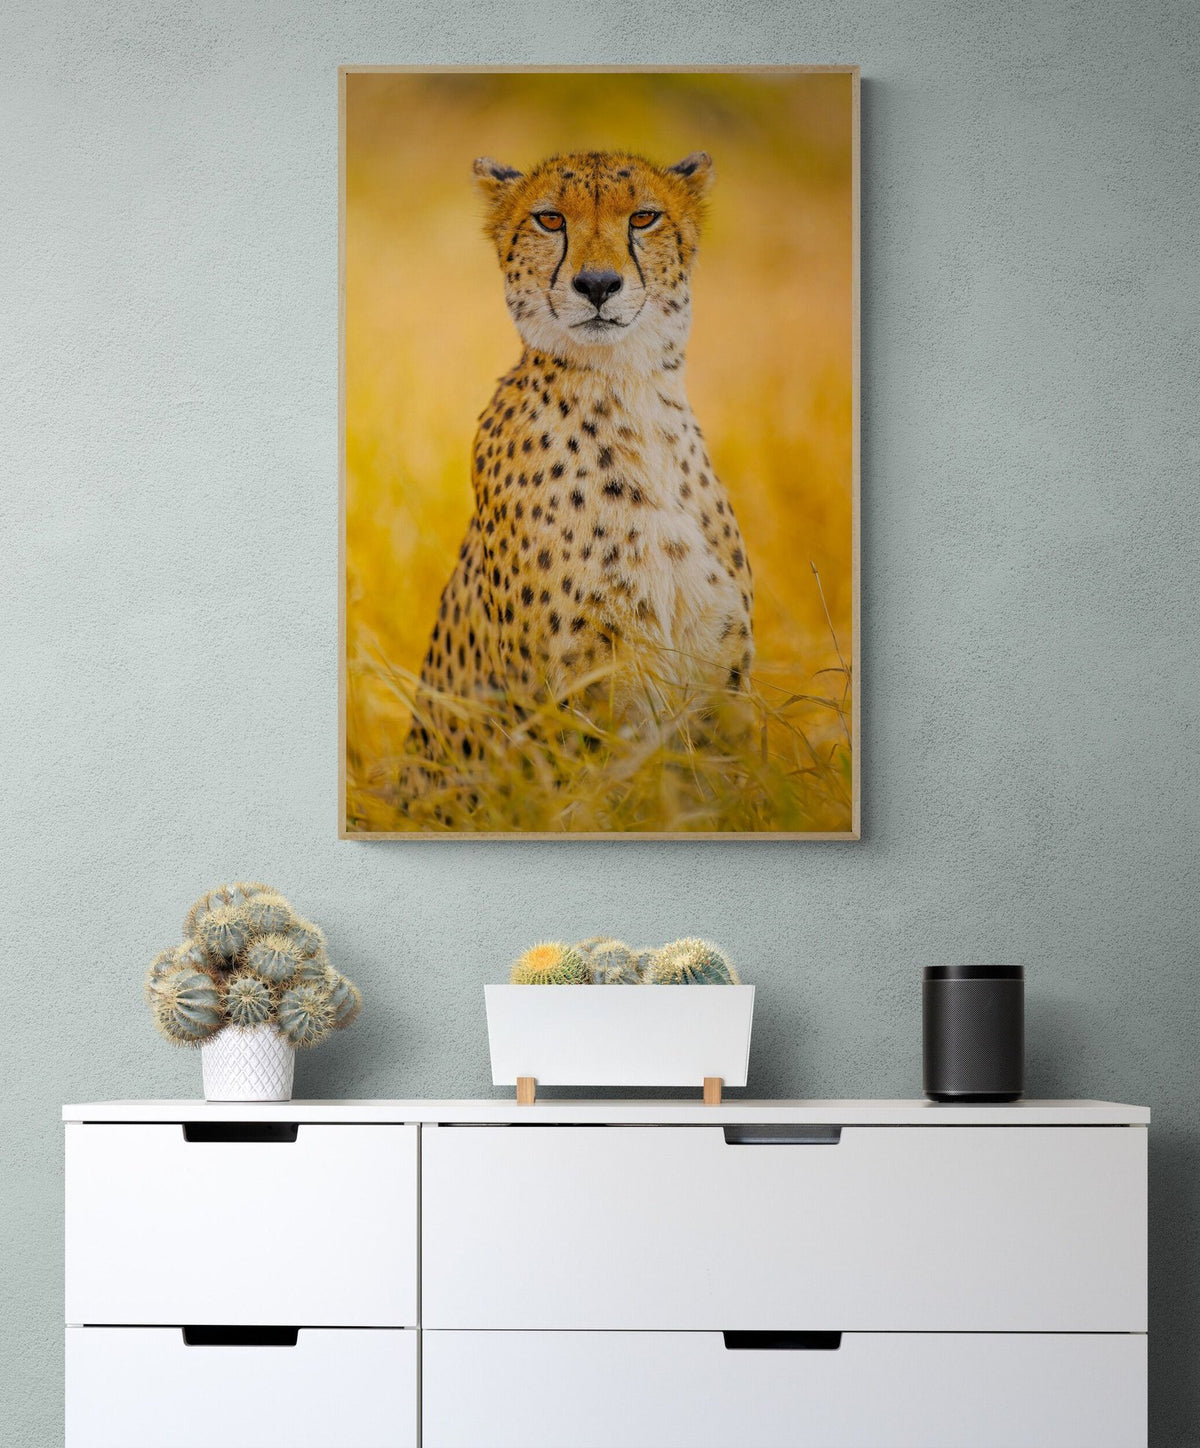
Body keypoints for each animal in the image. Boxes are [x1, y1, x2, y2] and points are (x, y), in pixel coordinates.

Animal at [408, 148, 754, 800]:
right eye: (549, 219)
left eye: (644, 217)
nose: (597, 284)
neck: (628, 396)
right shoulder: (573, 703)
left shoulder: (721, 688)